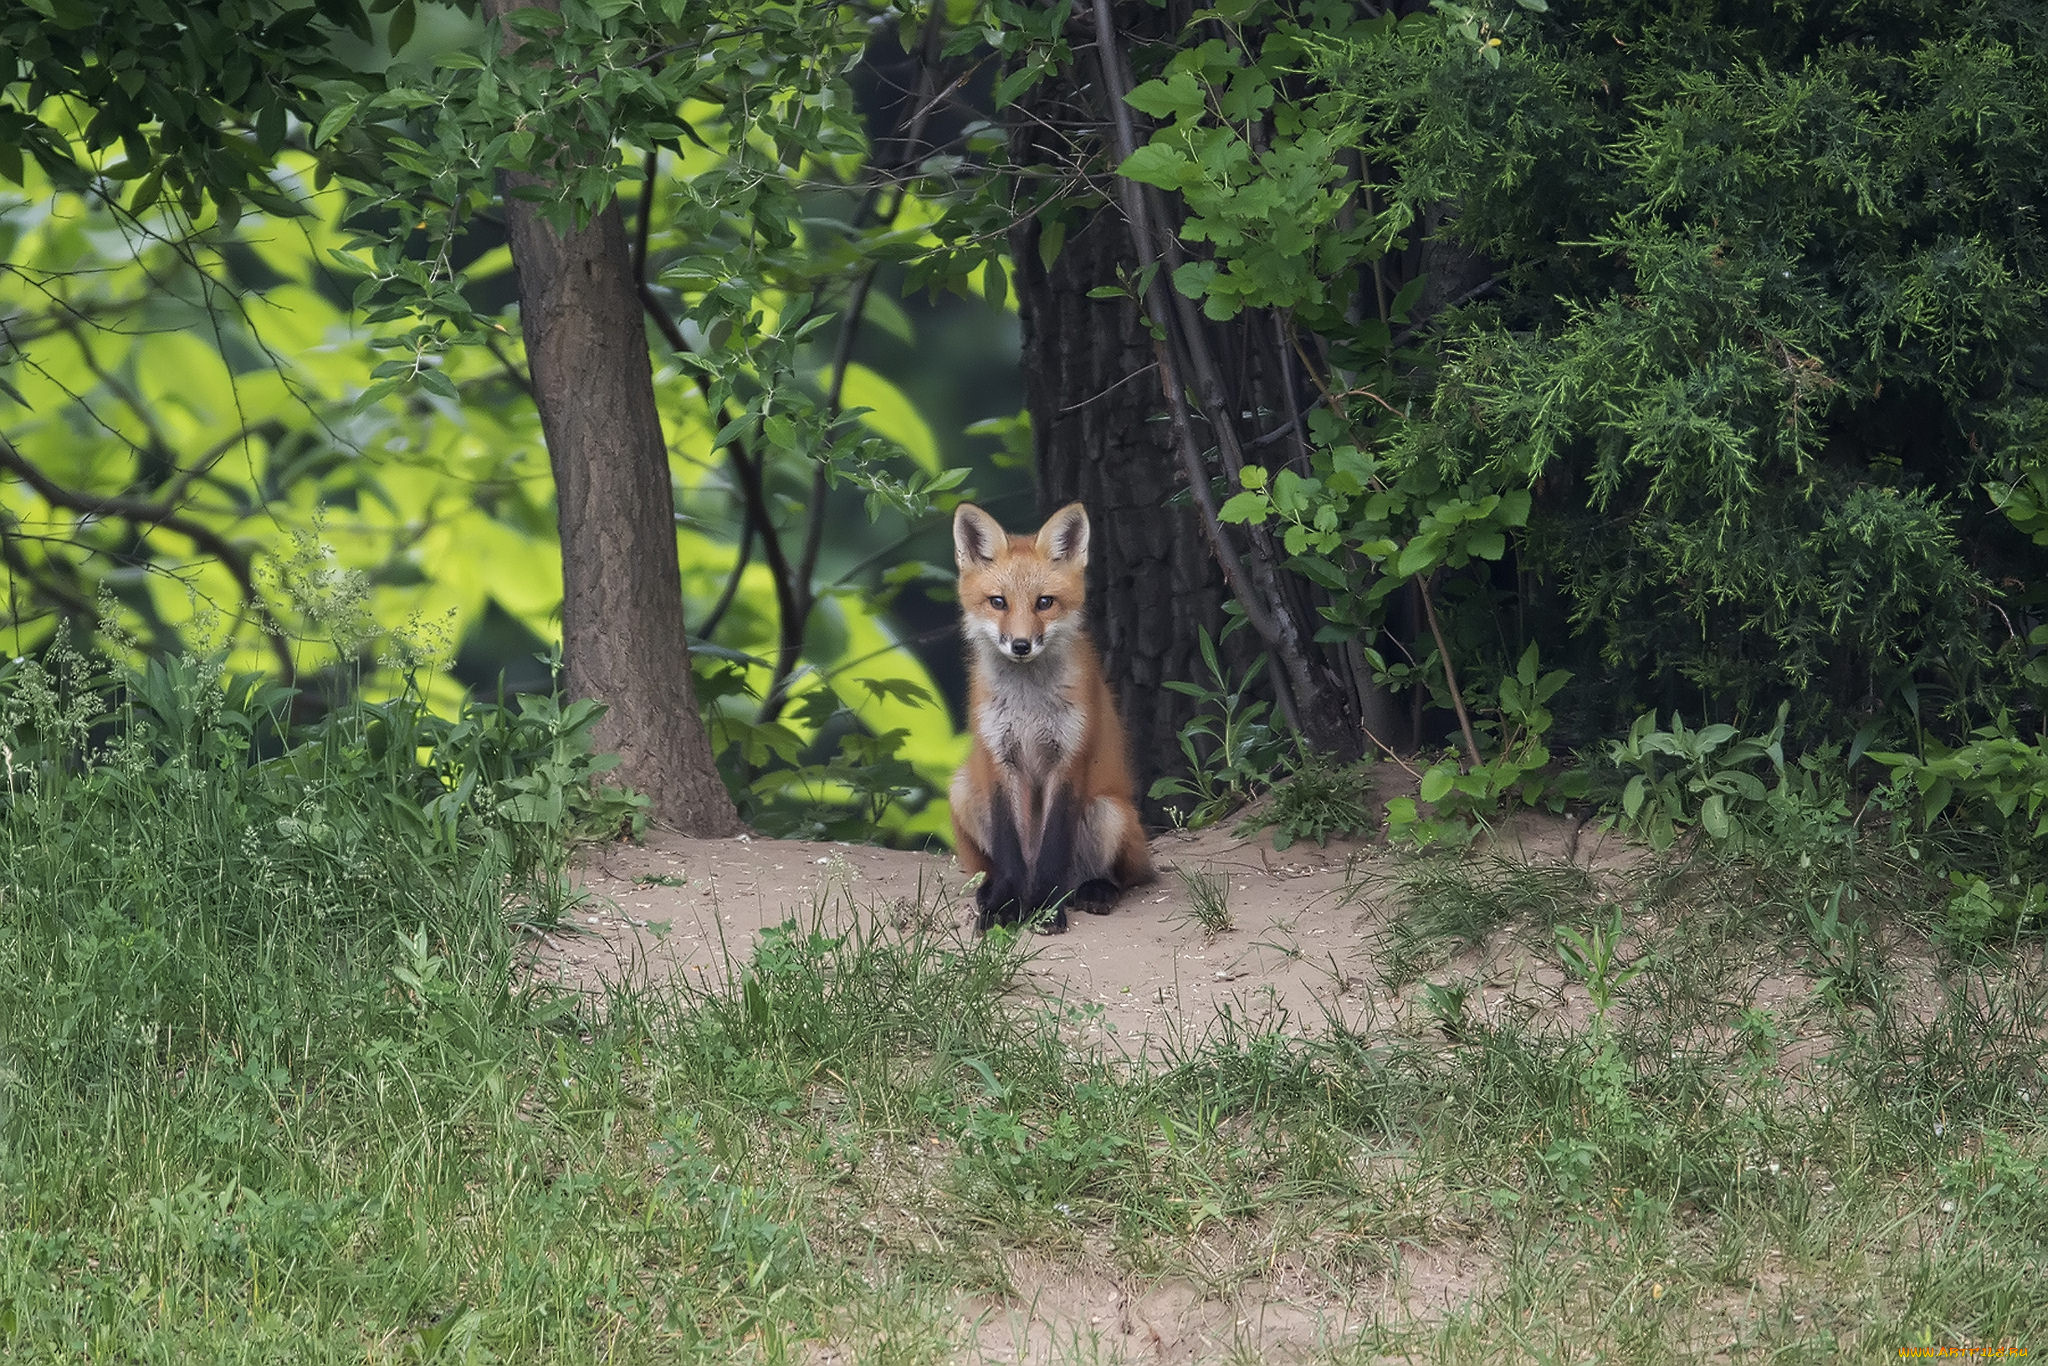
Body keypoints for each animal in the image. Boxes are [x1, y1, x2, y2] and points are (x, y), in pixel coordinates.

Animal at [946, 497, 1155, 933]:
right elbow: (1010, 849)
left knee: (1117, 877)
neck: (1028, 704)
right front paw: (1005, 907)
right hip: (962, 791)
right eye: (998, 602)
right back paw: (989, 891)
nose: (1021, 645)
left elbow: (1053, 849)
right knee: (992, 866)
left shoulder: (1069, 757)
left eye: (1044, 602)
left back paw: (1094, 891)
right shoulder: (999, 757)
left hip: (1109, 812)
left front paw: (1044, 907)